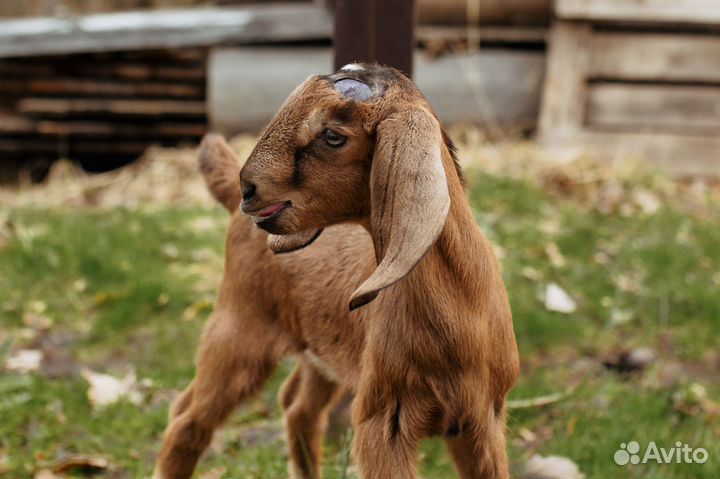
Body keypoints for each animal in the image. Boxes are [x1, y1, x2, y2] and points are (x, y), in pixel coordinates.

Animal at [155, 63, 520, 479]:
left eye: (333, 136)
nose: (249, 189)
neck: (462, 312)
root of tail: (233, 208)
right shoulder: (380, 422)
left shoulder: (482, 422)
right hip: (238, 327)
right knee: (189, 420)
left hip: (319, 352)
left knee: (296, 408)